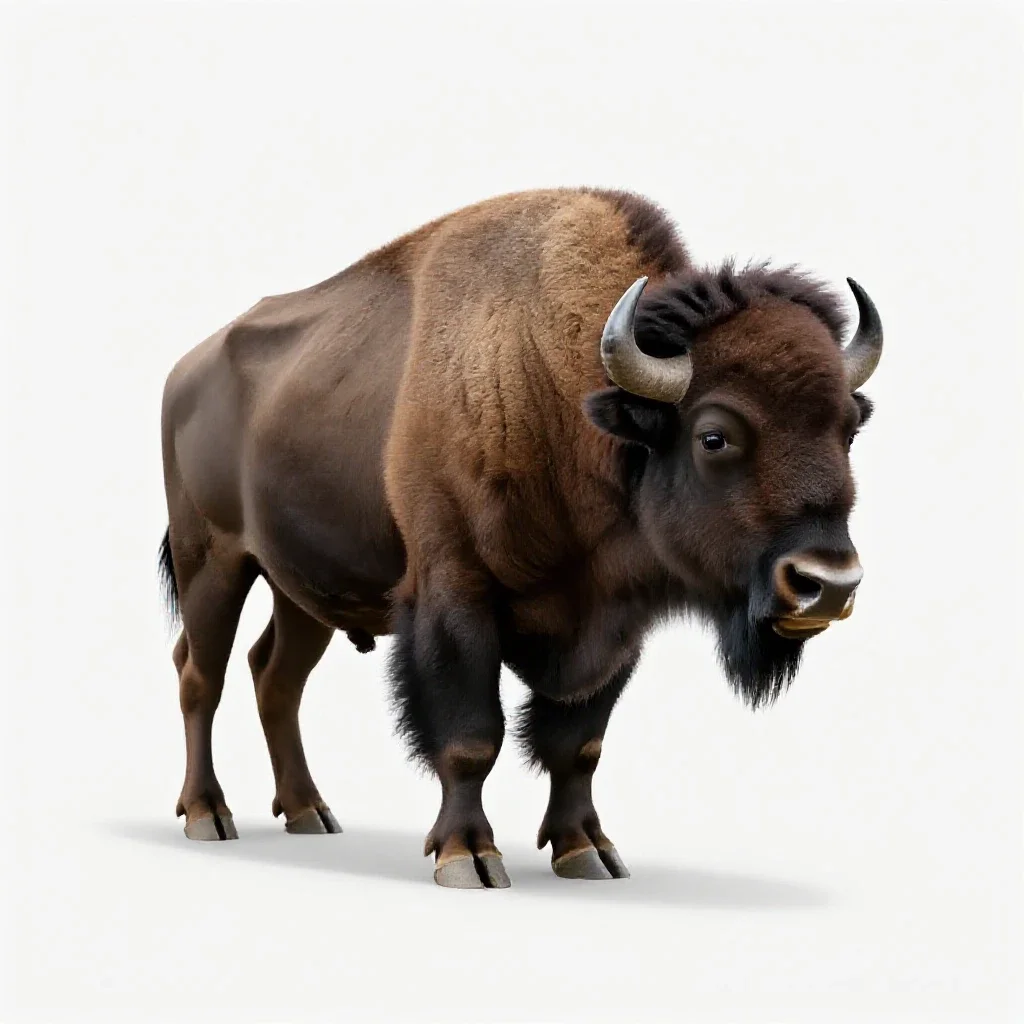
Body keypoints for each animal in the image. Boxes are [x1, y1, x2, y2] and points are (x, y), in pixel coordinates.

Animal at [158, 187, 881, 888]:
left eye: (849, 429)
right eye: (714, 436)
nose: (827, 585)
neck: (566, 398)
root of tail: (185, 370)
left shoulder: (614, 628)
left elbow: (578, 745)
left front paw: (589, 852)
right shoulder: (455, 600)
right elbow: (472, 737)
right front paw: (468, 858)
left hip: (301, 592)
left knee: (275, 676)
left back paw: (310, 812)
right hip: (213, 565)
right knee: (201, 675)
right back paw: (209, 815)